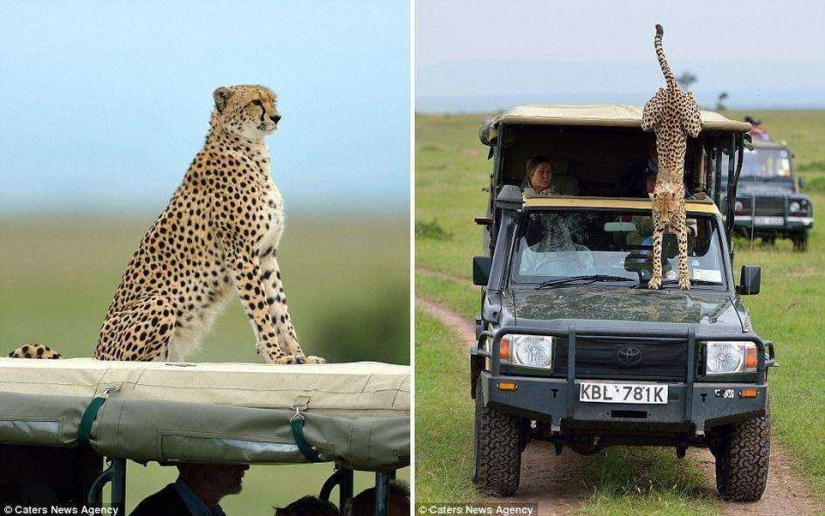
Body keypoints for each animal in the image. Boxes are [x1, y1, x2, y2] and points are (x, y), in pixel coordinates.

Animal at [11, 85, 326, 366]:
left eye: (273, 100)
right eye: (256, 102)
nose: (277, 117)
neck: (251, 150)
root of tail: (97, 353)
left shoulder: (266, 254)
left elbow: (280, 310)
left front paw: (298, 355)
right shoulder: (242, 254)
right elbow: (261, 312)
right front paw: (277, 356)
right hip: (159, 303)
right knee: (133, 359)